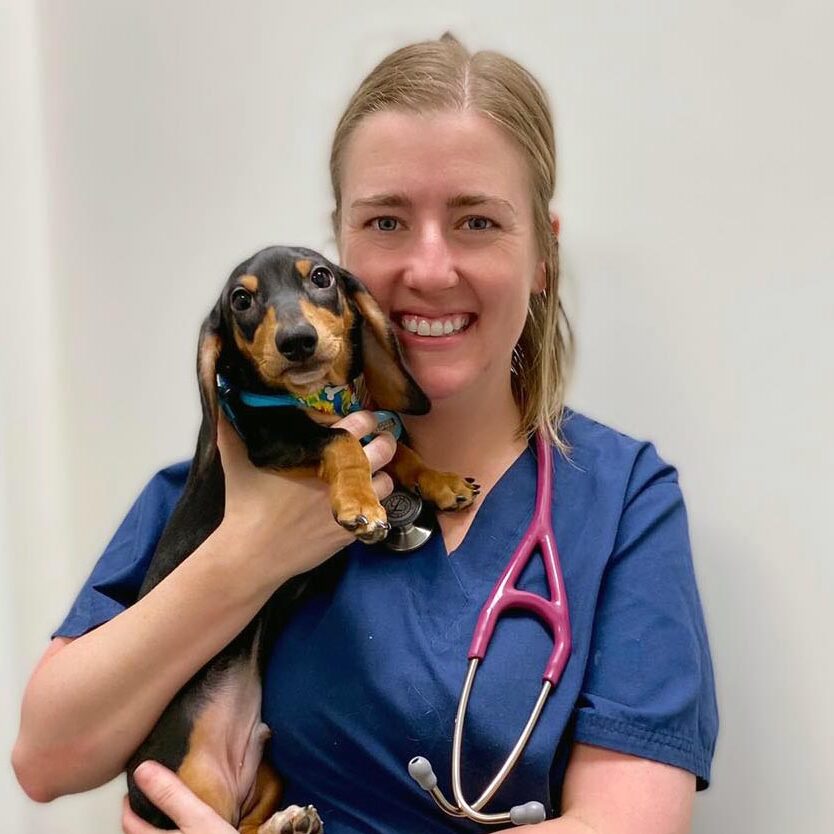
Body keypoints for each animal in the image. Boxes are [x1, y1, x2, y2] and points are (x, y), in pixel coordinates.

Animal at [123, 245, 474, 832]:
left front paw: (442, 480)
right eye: (241, 301)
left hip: (267, 770)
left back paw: (292, 821)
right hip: (189, 779)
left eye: (322, 278)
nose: (296, 341)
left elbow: (394, 449)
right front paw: (359, 504)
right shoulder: (275, 441)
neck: (318, 398)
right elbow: (340, 441)